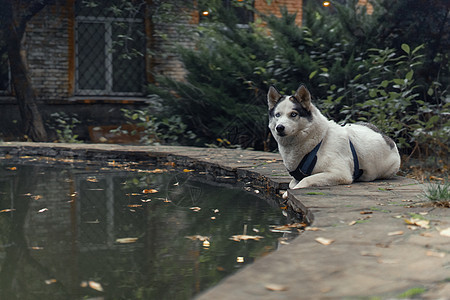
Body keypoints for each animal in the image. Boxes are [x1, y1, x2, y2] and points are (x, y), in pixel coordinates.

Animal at [268, 84, 400, 193]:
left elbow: (305, 180)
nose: (279, 128)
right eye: (277, 115)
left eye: (293, 114)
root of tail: (386, 137)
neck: (318, 141)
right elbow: (292, 183)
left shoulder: (340, 173)